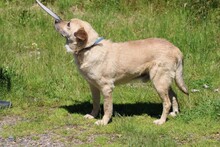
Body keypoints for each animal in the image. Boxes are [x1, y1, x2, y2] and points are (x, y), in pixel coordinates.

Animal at [54, 17, 188, 124]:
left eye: (69, 24)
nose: (56, 20)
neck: (89, 48)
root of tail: (176, 49)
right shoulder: (93, 86)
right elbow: (96, 103)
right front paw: (92, 116)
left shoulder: (106, 88)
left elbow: (107, 108)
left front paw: (103, 122)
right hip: (164, 81)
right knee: (174, 96)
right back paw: (174, 113)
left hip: (158, 82)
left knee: (167, 102)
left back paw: (161, 121)